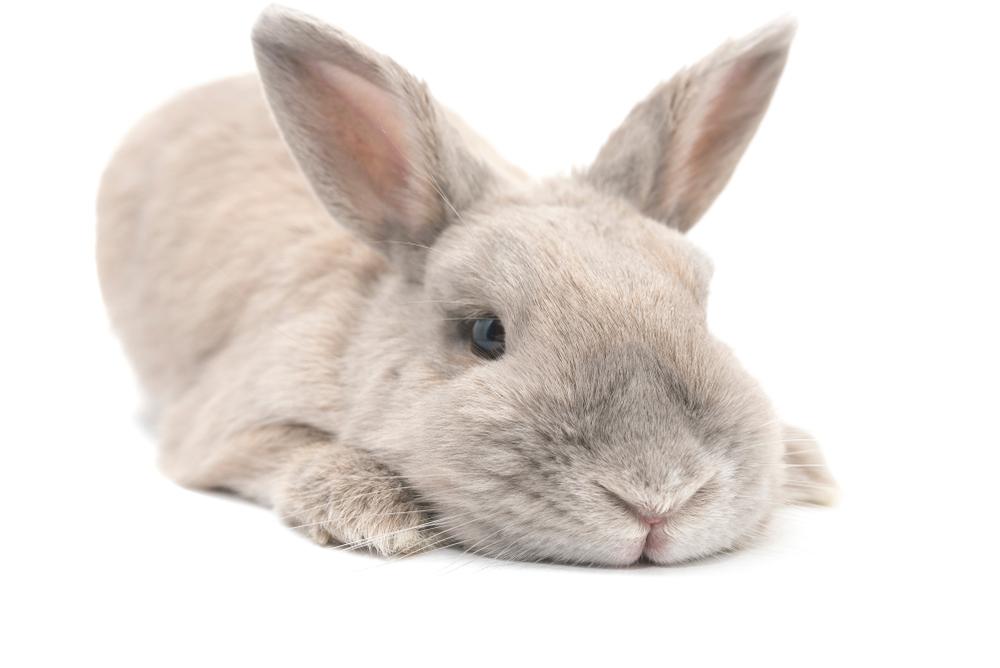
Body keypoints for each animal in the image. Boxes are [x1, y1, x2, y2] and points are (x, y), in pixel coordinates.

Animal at [99, 7, 836, 568]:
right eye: (485, 334)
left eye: (704, 312)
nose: (660, 499)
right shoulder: (224, 425)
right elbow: (292, 448)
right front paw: (371, 514)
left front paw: (806, 465)